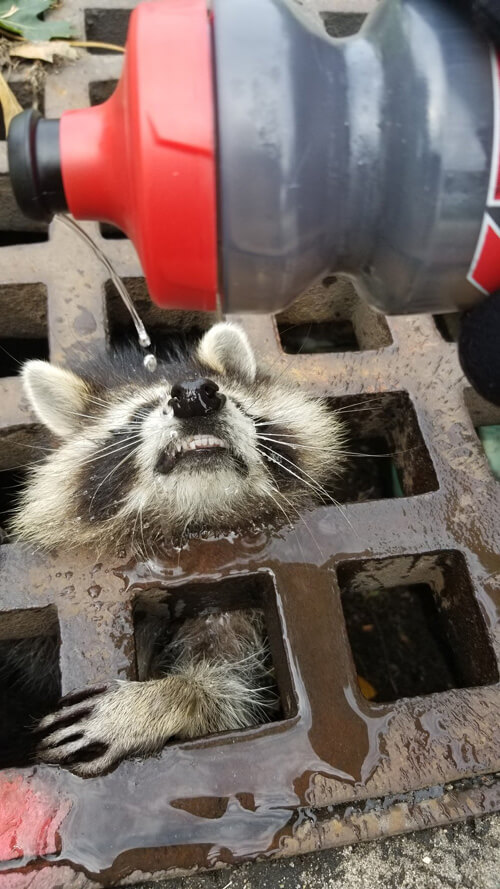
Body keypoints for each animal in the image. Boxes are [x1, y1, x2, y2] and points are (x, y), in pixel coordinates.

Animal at [5, 322, 346, 772]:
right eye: (139, 412)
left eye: (234, 398)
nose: (195, 396)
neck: (195, 521)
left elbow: (233, 695)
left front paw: (168, 699)